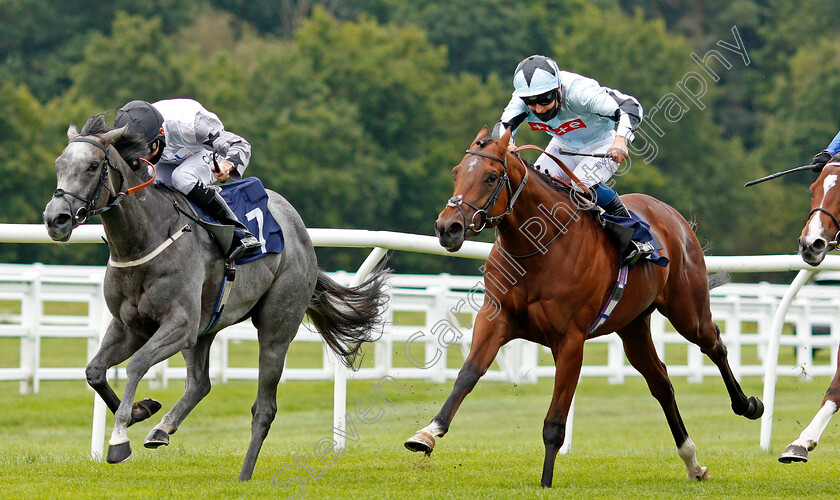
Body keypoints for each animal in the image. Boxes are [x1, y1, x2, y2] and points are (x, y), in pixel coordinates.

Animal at [41, 115, 388, 482]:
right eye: (59, 164)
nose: (55, 218)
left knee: (264, 407)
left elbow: (136, 364)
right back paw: (162, 429)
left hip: (276, 325)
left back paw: (244, 474)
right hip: (205, 328)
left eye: (93, 166)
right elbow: (94, 370)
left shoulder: (179, 323)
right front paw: (140, 410)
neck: (144, 238)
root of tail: (300, 230)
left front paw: (119, 438)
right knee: (200, 384)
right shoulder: (130, 326)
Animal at [404, 126, 764, 488]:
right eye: (456, 173)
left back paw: (747, 405)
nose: (447, 227)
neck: (538, 249)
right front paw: (427, 433)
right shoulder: (496, 319)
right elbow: (467, 375)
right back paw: (692, 461)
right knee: (661, 382)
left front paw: (545, 483)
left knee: (714, 343)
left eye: (491, 177)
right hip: (632, 326)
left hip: (687, 311)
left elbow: (554, 422)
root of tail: (671, 214)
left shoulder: (570, 340)